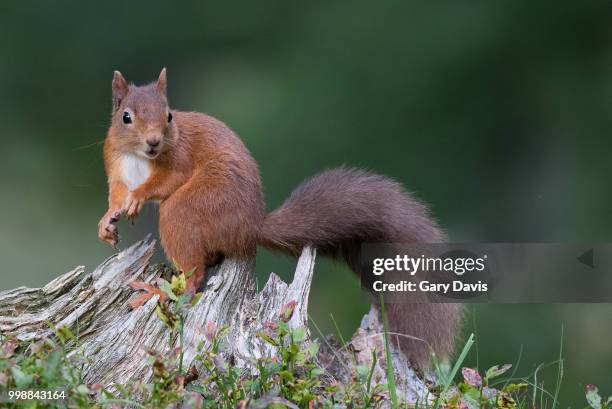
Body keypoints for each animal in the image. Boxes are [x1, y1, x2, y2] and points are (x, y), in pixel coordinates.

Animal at [97, 68, 460, 364]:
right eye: (126, 117)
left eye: (169, 115)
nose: (154, 142)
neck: (138, 158)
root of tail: (250, 227)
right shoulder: (116, 168)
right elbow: (116, 194)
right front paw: (108, 221)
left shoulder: (179, 159)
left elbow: (166, 181)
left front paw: (137, 199)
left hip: (189, 209)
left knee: (194, 272)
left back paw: (160, 292)